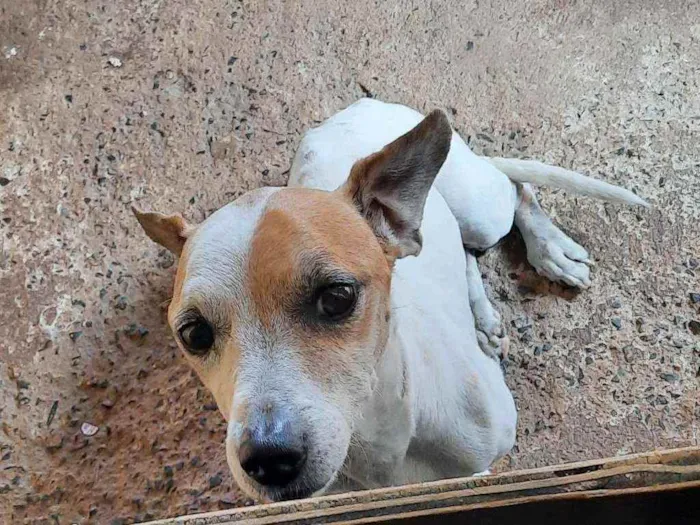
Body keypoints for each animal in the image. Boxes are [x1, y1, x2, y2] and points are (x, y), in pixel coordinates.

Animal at [131, 96, 644, 502]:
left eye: (337, 298)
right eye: (194, 334)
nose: (268, 459)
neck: (380, 440)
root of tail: (356, 106)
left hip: (481, 207)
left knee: (516, 190)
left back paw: (550, 250)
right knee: (467, 252)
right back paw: (481, 318)